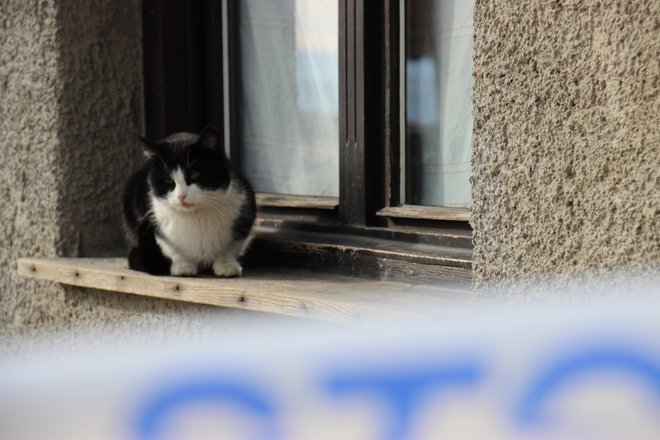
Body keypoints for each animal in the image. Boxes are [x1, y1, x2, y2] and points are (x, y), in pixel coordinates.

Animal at [122, 125, 256, 276]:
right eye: (168, 180)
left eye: (194, 174)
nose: (181, 196)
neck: (196, 215)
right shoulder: (150, 217)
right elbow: (170, 247)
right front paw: (183, 266)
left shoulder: (245, 210)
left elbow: (232, 247)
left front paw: (226, 265)